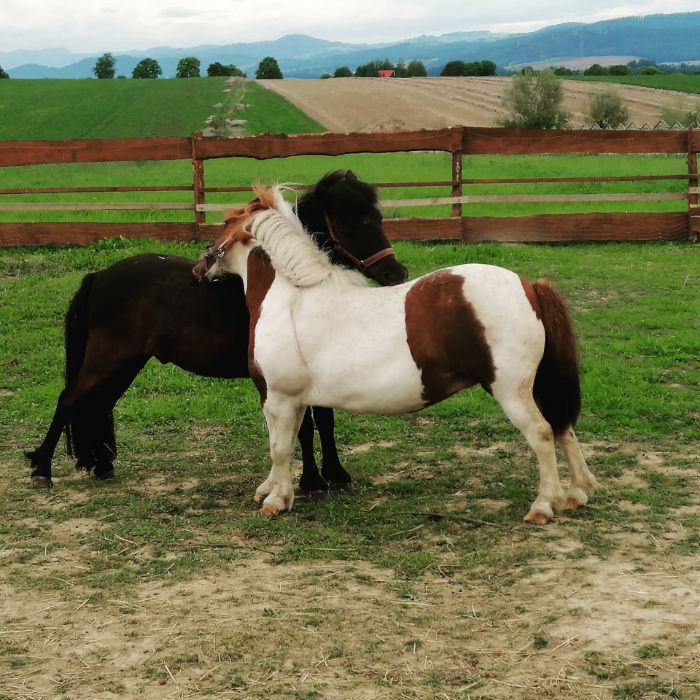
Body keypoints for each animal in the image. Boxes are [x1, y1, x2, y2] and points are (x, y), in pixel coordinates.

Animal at [27, 170, 408, 490]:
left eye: (377, 217)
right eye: (357, 221)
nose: (397, 272)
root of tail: (100, 276)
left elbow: (324, 422)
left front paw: (335, 475)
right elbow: (303, 428)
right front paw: (312, 482)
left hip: (126, 363)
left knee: (98, 404)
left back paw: (100, 464)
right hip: (107, 359)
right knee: (69, 399)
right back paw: (42, 469)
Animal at [200, 186, 600, 524]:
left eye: (223, 226)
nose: (201, 265)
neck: (292, 298)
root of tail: (529, 286)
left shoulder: (279, 397)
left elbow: (280, 447)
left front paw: (276, 500)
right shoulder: (291, 400)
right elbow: (286, 441)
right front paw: (273, 490)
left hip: (512, 391)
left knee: (542, 434)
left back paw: (543, 505)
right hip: (539, 385)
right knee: (563, 427)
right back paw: (577, 492)